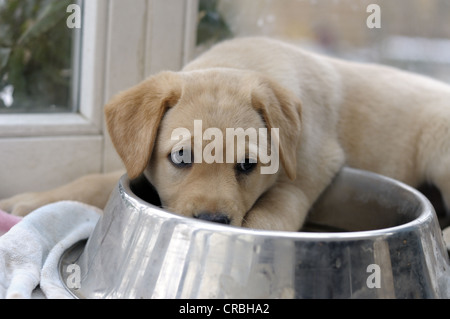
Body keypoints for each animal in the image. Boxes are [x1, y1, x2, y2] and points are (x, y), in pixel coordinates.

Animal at [0, 37, 450, 231]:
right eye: (181, 157)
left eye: (248, 164)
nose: (213, 221)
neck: (243, 61)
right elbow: (98, 178)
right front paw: (34, 200)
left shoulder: (306, 169)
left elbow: (276, 207)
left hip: (439, 145)